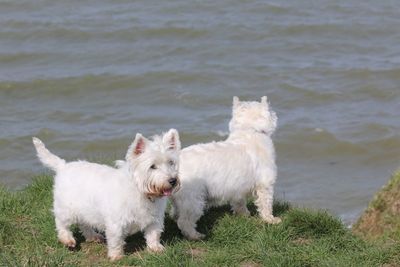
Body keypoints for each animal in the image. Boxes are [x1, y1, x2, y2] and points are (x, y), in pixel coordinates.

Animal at [31, 130, 181, 262]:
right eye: (152, 166)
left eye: (171, 162)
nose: (173, 180)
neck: (142, 192)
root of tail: (63, 166)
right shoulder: (116, 223)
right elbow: (115, 240)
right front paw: (116, 256)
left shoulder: (154, 219)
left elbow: (154, 234)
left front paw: (156, 248)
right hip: (66, 207)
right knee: (62, 223)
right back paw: (68, 240)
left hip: (86, 210)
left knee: (84, 224)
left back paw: (93, 236)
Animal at [170, 96, 282, 241]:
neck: (249, 131)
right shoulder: (265, 184)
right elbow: (266, 204)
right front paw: (271, 220)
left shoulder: (237, 188)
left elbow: (239, 203)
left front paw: (244, 214)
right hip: (193, 200)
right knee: (185, 221)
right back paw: (196, 236)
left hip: (180, 199)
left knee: (175, 213)